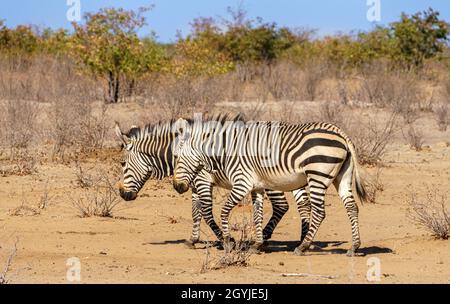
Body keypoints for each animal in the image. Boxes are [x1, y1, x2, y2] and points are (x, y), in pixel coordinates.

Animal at [114, 118, 312, 247]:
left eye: (123, 164)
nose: (123, 194)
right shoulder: (194, 185)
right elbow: (195, 212)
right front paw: (192, 240)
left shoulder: (202, 181)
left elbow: (207, 213)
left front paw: (226, 239)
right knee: (302, 204)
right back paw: (302, 237)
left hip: (272, 181)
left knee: (282, 206)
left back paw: (267, 236)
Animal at [174, 115, 368, 255]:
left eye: (178, 157)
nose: (177, 186)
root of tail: (340, 133)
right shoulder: (257, 187)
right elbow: (257, 214)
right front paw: (257, 244)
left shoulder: (241, 183)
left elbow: (222, 211)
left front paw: (228, 242)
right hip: (342, 176)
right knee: (352, 207)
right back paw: (354, 247)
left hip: (317, 175)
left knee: (319, 212)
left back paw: (303, 247)